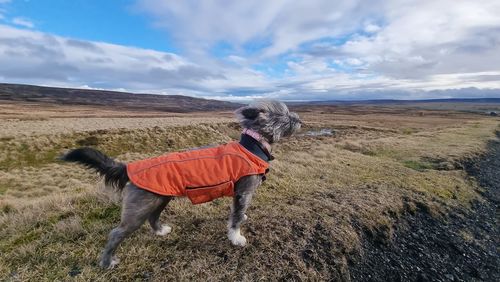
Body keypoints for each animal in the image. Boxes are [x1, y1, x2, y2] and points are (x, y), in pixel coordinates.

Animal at [61, 99, 300, 268]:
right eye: (284, 114)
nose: (300, 121)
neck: (252, 145)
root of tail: (129, 168)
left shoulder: (238, 195)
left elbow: (237, 214)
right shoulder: (243, 192)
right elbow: (236, 218)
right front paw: (236, 238)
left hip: (160, 199)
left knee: (153, 218)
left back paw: (160, 231)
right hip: (138, 210)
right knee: (116, 234)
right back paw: (107, 262)